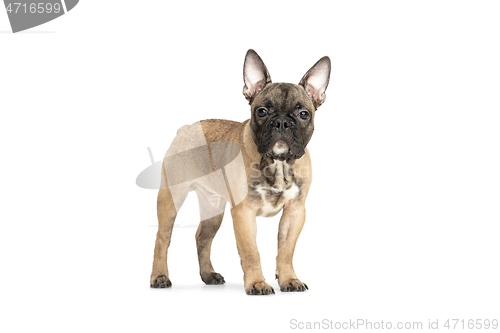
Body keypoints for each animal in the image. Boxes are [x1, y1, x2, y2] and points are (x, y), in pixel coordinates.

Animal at [152, 48, 332, 294]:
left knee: (203, 237)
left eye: (304, 114)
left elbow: (286, 251)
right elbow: (251, 252)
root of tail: (186, 129)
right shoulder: (244, 213)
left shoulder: (295, 213)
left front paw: (288, 279)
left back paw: (208, 275)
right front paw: (257, 283)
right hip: (171, 197)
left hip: (213, 208)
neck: (278, 162)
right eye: (262, 111)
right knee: (162, 238)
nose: (282, 123)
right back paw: (159, 276)